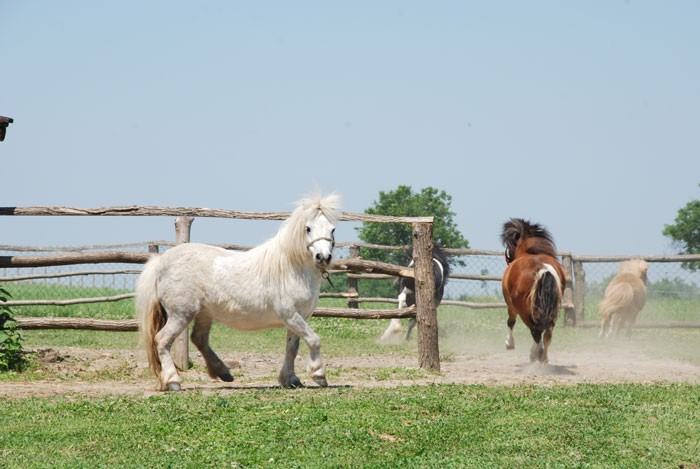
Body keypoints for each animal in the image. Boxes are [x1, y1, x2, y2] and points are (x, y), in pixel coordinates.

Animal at [135, 192, 341, 391]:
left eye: (332, 229)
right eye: (308, 228)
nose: (323, 257)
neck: (291, 269)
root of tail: (160, 262)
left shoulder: (299, 318)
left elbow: (292, 348)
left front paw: (290, 379)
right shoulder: (290, 315)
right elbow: (314, 339)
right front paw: (319, 375)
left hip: (204, 314)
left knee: (199, 339)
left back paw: (223, 373)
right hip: (181, 314)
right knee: (162, 340)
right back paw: (173, 381)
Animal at [500, 218, 565, 364]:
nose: (508, 259)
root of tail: (542, 269)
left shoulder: (511, 304)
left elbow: (510, 321)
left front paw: (509, 344)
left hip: (524, 310)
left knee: (535, 331)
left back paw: (534, 356)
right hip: (553, 310)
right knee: (547, 334)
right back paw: (543, 358)